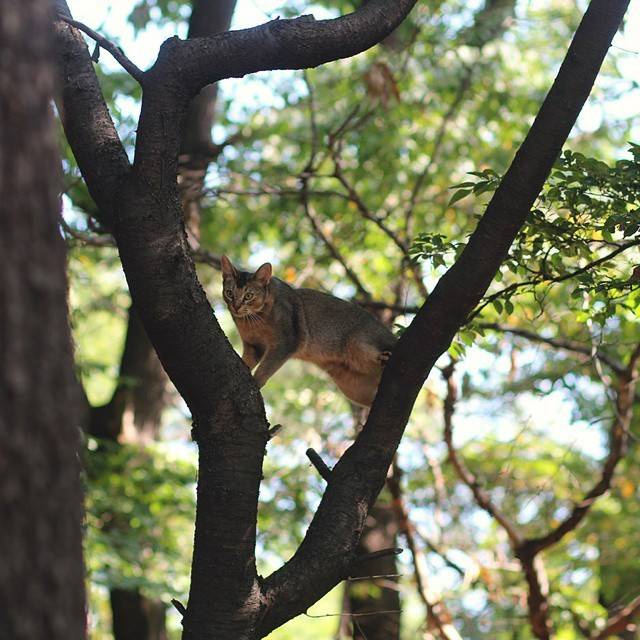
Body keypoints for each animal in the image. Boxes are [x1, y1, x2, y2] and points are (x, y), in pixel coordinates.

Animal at [220, 254, 396, 404]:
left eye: (248, 296)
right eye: (229, 293)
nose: (235, 307)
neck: (251, 321)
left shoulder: (286, 343)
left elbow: (266, 368)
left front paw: (256, 383)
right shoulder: (254, 346)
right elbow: (246, 361)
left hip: (356, 342)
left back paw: (384, 357)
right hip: (353, 388)